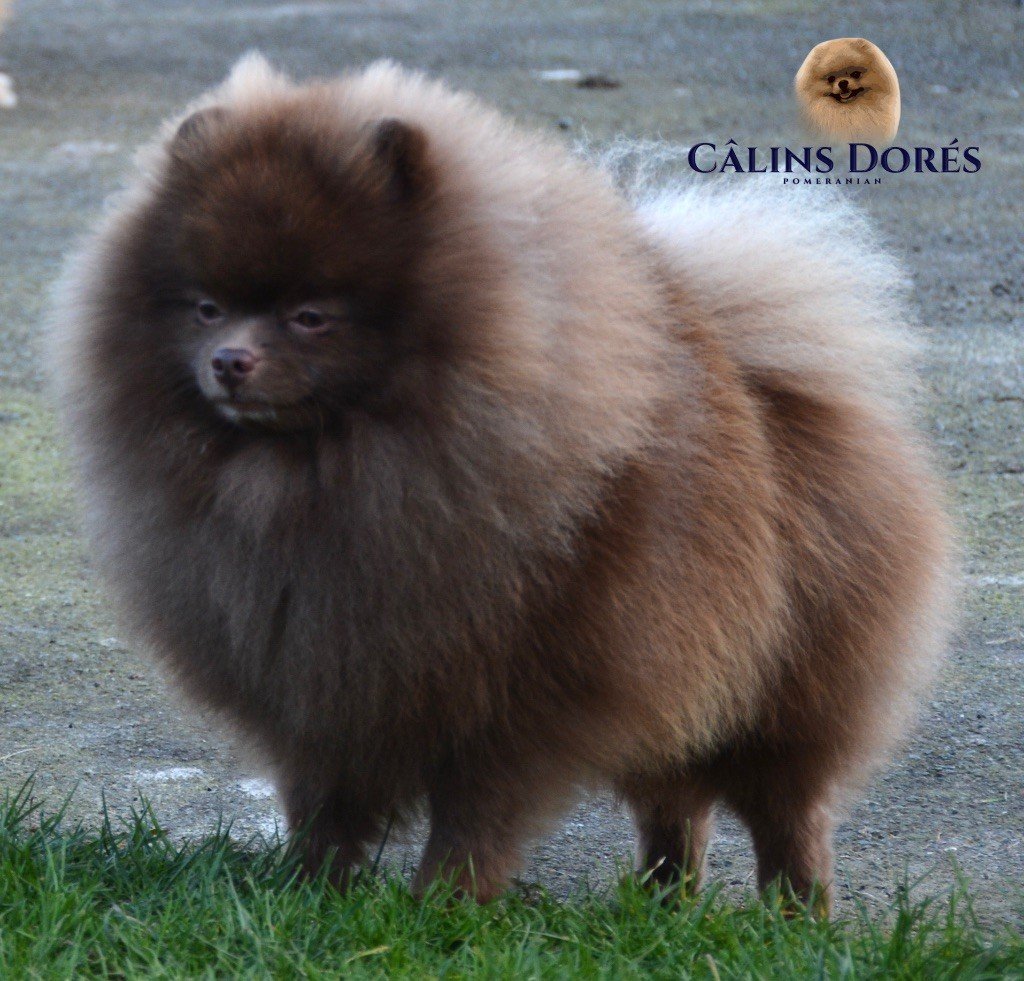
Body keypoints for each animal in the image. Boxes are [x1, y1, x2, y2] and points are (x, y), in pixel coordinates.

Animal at [54, 55, 950, 913]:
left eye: (311, 316)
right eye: (206, 307)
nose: (228, 360)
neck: (323, 476)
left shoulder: (517, 695)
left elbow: (475, 815)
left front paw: (442, 906)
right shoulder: (323, 685)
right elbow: (326, 805)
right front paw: (308, 890)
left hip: (782, 688)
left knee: (787, 810)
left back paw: (798, 914)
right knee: (675, 804)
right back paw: (661, 901)